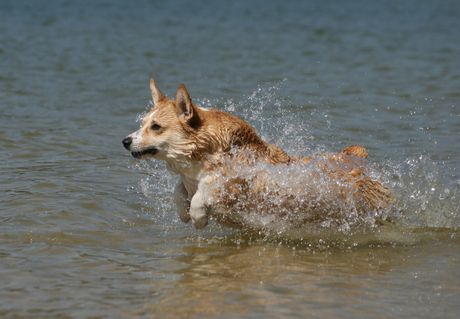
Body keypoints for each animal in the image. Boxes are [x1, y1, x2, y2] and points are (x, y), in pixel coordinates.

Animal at [124, 79, 394, 231]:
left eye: (156, 127)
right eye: (143, 123)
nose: (125, 141)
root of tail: (357, 157)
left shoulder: (237, 183)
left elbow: (206, 192)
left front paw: (198, 217)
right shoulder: (187, 180)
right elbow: (178, 191)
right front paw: (184, 212)